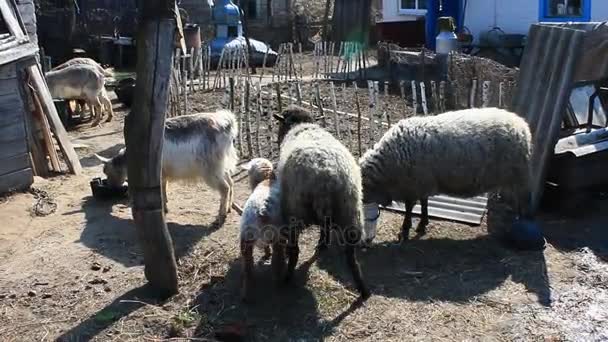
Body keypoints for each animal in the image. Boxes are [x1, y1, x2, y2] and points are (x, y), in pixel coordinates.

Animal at [96, 109, 239, 219]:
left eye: (108, 172)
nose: (111, 186)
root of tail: (227, 123)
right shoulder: (162, 175)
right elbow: (163, 188)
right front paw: (165, 206)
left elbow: (161, 190)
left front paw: (164, 208)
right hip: (222, 165)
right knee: (231, 183)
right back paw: (229, 209)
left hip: (211, 169)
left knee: (225, 188)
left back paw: (221, 214)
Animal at [240, 158, 282, 302]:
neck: (266, 179)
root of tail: (262, 209)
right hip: (276, 236)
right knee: (277, 260)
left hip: (246, 236)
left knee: (247, 268)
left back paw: (246, 295)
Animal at [274, 105, 370, 300]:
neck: (302, 127)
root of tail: (327, 177)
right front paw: (323, 243)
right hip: (351, 212)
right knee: (351, 257)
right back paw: (363, 290)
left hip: (296, 210)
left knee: (294, 251)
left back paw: (287, 278)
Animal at [360, 108, 532, 242]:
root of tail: (522, 126)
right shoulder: (422, 183)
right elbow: (424, 202)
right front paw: (423, 223)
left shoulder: (413, 184)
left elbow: (409, 208)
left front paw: (406, 228)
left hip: (518, 175)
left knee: (523, 201)